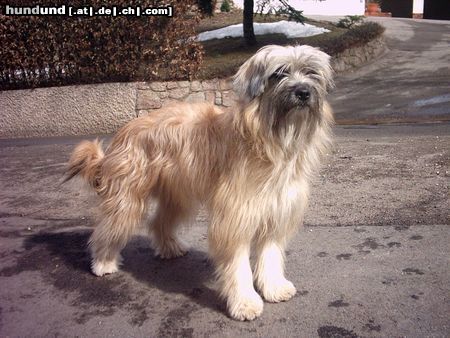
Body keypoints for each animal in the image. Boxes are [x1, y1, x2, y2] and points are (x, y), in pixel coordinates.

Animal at [67, 44, 334, 320]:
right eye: (279, 73)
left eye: (311, 72)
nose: (303, 92)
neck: (271, 142)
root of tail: (124, 131)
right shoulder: (235, 218)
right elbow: (238, 266)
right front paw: (245, 303)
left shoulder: (276, 212)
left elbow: (269, 256)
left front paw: (274, 288)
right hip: (127, 197)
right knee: (108, 228)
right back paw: (103, 263)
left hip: (177, 196)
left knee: (158, 222)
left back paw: (170, 247)